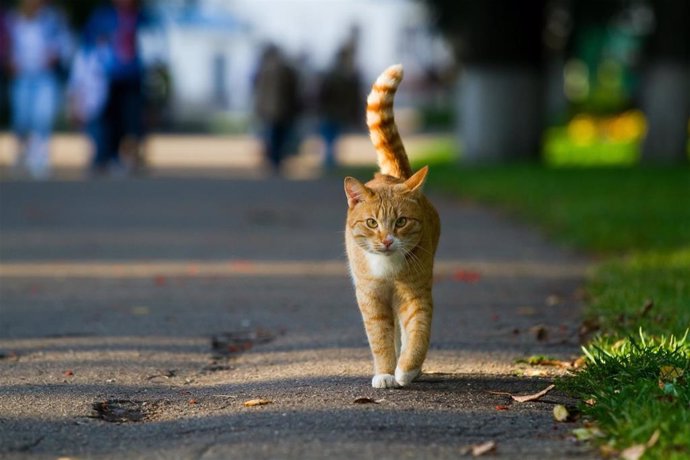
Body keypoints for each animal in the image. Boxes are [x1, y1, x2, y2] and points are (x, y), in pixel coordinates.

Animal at [342, 64, 438, 388]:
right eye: (372, 223)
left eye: (401, 222)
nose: (386, 240)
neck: (388, 269)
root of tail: (391, 176)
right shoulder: (371, 298)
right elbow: (381, 339)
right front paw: (385, 372)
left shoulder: (415, 294)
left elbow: (419, 332)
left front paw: (407, 369)